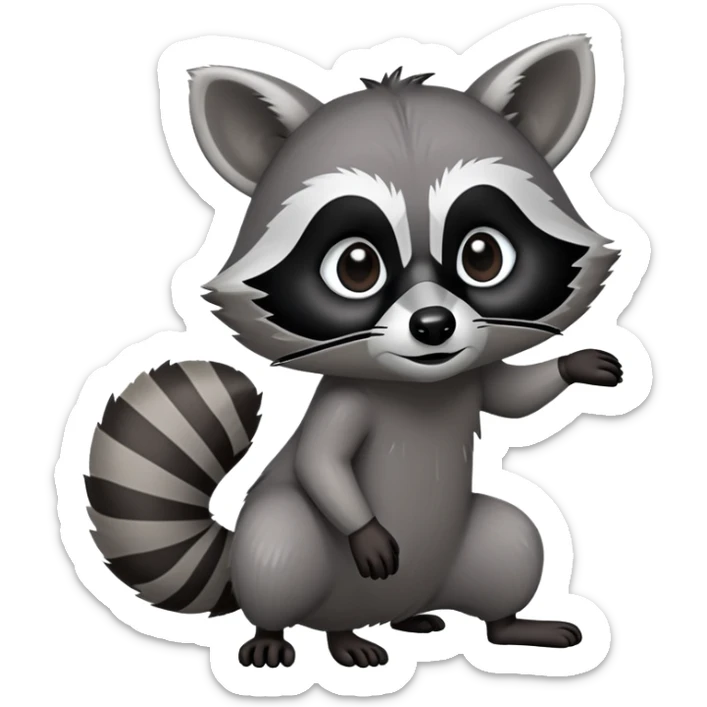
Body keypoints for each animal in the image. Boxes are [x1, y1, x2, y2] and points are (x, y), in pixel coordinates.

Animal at [86, 35, 623, 668]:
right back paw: (293, 634)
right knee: (283, 538)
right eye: (356, 267)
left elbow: (512, 397)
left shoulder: (464, 376)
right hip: (288, 556)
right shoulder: (347, 400)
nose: (434, 326)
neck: (419, 388)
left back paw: (501, 625)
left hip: (468, 556)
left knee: (513, 538)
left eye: (482, 255)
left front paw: (576, 364)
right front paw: (364, 528)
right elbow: (322, 464)